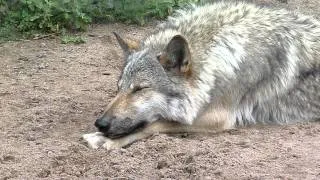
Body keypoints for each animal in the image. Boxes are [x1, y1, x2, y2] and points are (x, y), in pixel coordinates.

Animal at [82, 1, 320, 150]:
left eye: (140, 89)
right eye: (119, 88)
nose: (100, 124)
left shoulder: (217, 117)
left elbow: (155, 124)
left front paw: (105, 140)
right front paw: (99, 135)